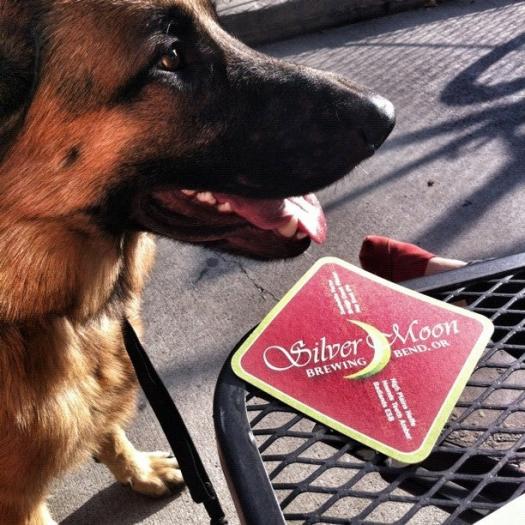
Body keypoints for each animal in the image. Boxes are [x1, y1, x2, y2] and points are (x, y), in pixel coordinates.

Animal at [0, 0, 395, 523]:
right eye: (170, 57)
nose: (388, 115)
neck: (38, 316)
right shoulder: (17, 504)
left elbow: (108, 428)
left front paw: (138, 469)